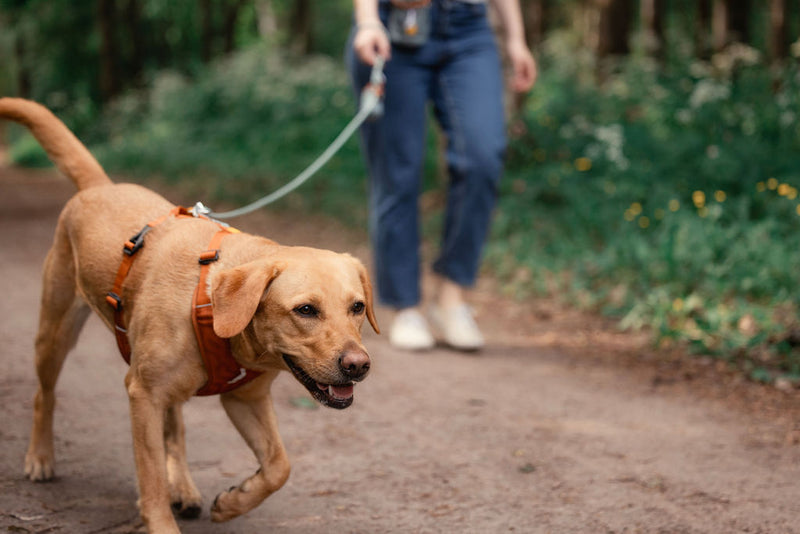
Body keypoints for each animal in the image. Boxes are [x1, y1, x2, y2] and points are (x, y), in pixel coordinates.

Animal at [0, 98, 382, 532]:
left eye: (357, 307)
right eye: (305, 310)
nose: (358, 365)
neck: (214, 308)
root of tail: (99, 186)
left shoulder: (244, 399)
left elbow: (278, 467)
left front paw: (233, 502)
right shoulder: (143, 395)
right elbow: (150, 478)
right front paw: (162, 519)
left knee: (176, 429)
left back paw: (183, 487)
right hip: (55, 334)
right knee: (43, 395)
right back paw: (40, 457)